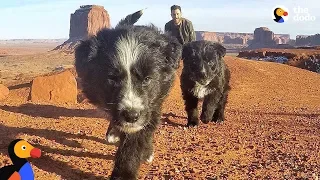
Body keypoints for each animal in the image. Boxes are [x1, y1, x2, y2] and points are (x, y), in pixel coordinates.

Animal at [73, 10, 181, 179]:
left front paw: (125, 172)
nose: (131, 116)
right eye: (112, 78)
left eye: (147, 79)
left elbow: (135, 141)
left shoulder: (153, 104)